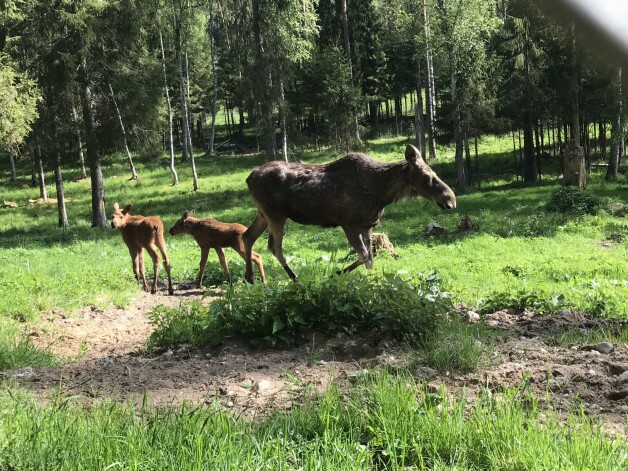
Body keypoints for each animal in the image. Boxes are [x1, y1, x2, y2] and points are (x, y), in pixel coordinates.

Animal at [242, 145, 456, 284]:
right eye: (427, 176)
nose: (451, 199)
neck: (383, 193)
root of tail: (249, 177)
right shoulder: (349, 224)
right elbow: (364, 256)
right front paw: (333, 275)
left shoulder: (367, 226)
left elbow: (370, 260)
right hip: (276, 215)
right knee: (275, 248)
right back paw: (295, 278)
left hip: (263, 214)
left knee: (248, 236)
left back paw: (250, 278)